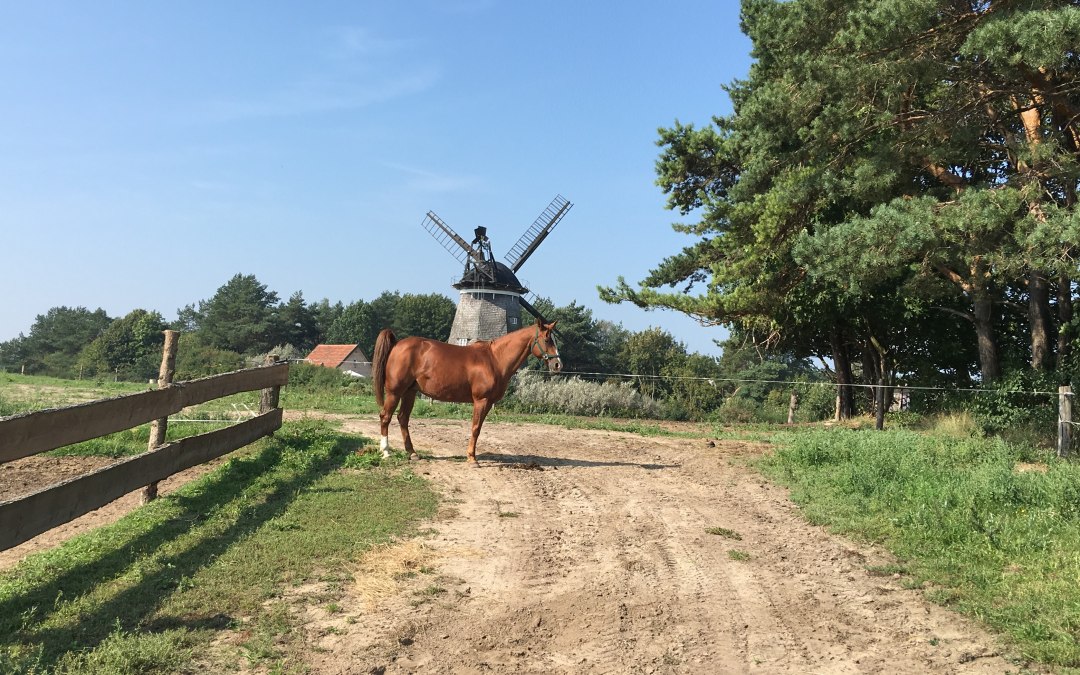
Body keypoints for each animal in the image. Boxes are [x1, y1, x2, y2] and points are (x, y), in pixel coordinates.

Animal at [371, 315, 561, 462]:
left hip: (410, 392)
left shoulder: (488, 403)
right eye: (546, 340)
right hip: (395, 392)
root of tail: (397, 344)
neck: (494, 359)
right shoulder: (481, 400)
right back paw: (386, 452)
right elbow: (475, 428)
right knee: (385, 417)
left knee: (402, 418)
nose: (558, 364)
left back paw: (412, 453)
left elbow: (478, 428)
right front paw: (472, 458)